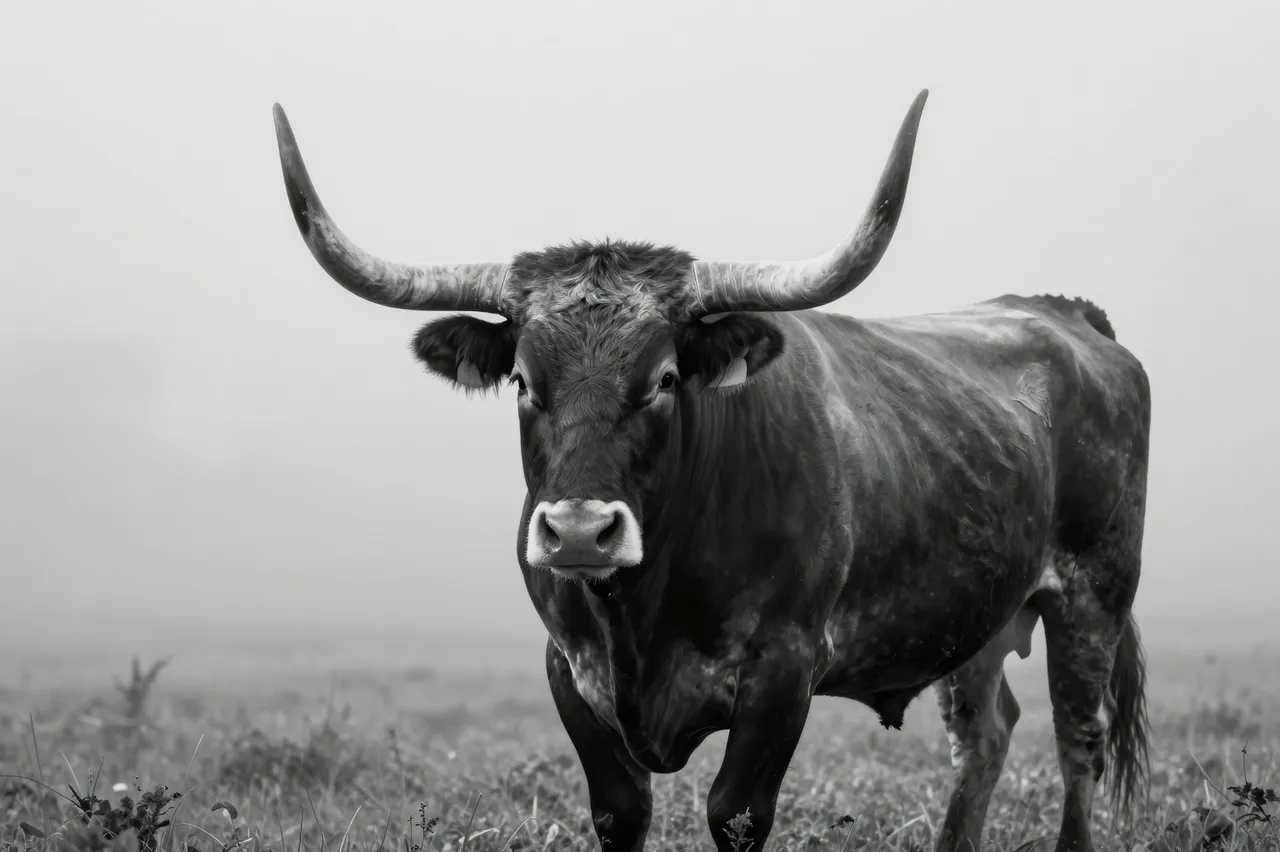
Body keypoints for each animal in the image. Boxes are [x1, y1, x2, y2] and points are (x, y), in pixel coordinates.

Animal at [270, 89, 1151, 852]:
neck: (641, 608)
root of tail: (1063, 313)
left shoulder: (782, 675)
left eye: (665, 378)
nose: (580, 532)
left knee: (1078, 739)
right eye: (521, 379)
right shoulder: (569, 673)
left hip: (1092, 597)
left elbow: (735, 814)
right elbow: (619, 814)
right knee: (985, 734)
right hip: (978, 618)